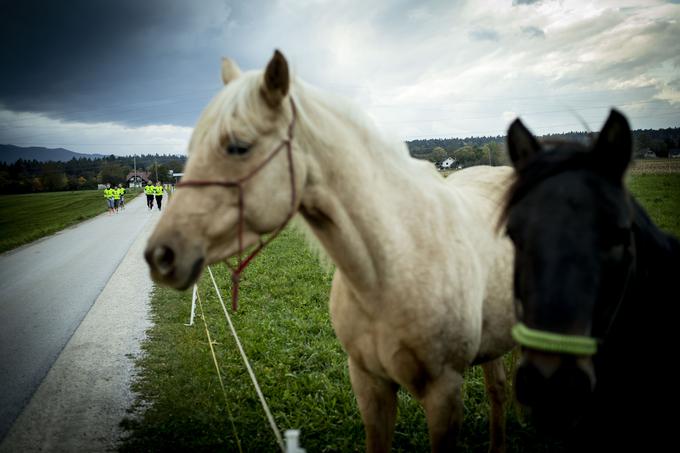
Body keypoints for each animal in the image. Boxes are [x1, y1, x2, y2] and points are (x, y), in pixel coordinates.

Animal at [145, 51, 516, 450]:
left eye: (238, 146)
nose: (160, 255)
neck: (395, 265)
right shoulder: (369, 385)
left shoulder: (444, 395)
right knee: (498, 390)